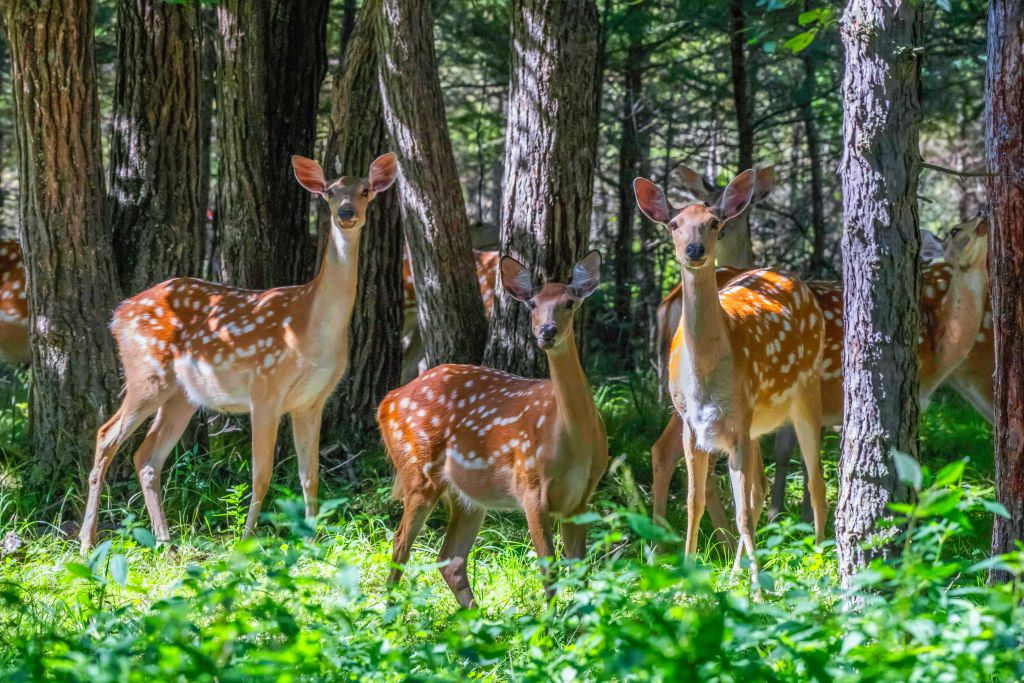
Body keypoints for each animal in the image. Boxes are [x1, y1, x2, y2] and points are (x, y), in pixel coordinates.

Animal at [79, 152, 398, 554]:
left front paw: (313, 540)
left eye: (365, 190)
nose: (345, 212)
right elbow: (262, 473)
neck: (312, 330)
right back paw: (87, 542)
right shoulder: (265, 387)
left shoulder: (312, 400)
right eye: (329, 191)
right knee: (106, 436)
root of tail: (119, 314)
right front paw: (245, 541)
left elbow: (309, 475)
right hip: (147, 374)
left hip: (182, 395)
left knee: (146, 456)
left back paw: (167, 545)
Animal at [379, 251, 608, 608]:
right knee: (400, 544)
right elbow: (549, 571)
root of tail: (387, 401)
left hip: (467, 496)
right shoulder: (530, 486)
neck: (574, 441)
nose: (547, 331)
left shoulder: (580, 498)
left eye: (569, 302)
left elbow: (579, 571)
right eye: (533, 304)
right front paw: (551, 621)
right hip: (418, 470)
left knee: (451, 558)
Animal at [634, 170, 827, 574]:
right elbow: (694, 503)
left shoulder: (739, 421)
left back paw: (819, 561)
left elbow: (744, 508)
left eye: (714, 222)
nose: (695, 250)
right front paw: (689, 571)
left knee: (815, 483)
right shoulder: (695, 425)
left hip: (805, 391)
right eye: (674, 224)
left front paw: (757, 584)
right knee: (755, 486)